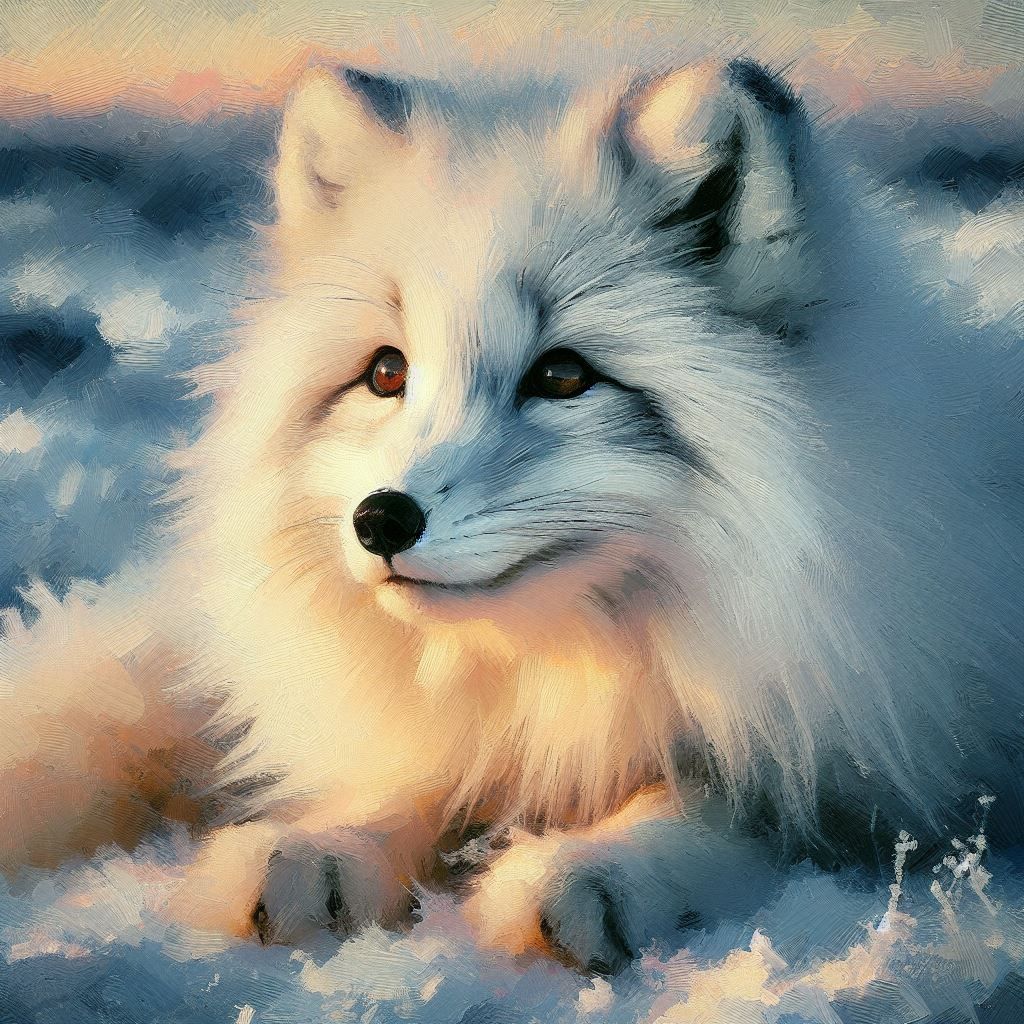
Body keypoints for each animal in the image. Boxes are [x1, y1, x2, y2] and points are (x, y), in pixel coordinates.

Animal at [1, 56, 1022, 976]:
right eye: (386, 372)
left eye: (563, 375)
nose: (380, 520)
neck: (556, 677)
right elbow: (407, 778)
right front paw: (324, 846)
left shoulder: (872, 777)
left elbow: (714, 805)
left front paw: (591, 867)